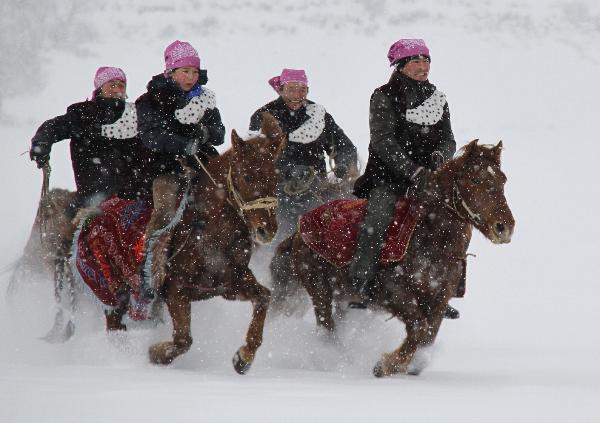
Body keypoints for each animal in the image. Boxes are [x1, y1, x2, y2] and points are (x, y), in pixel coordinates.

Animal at [272, 140, 516, 378]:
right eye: (475, 179)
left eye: (502, 180)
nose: (504, 227)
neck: (428, 239)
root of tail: (298, 231)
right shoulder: (395, 293)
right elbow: (418, 328)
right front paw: (387, 364)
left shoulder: (440, 298)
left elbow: (428, 335)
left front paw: (409, 365)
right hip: (319, 289)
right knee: (326, 330)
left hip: (342, 297)